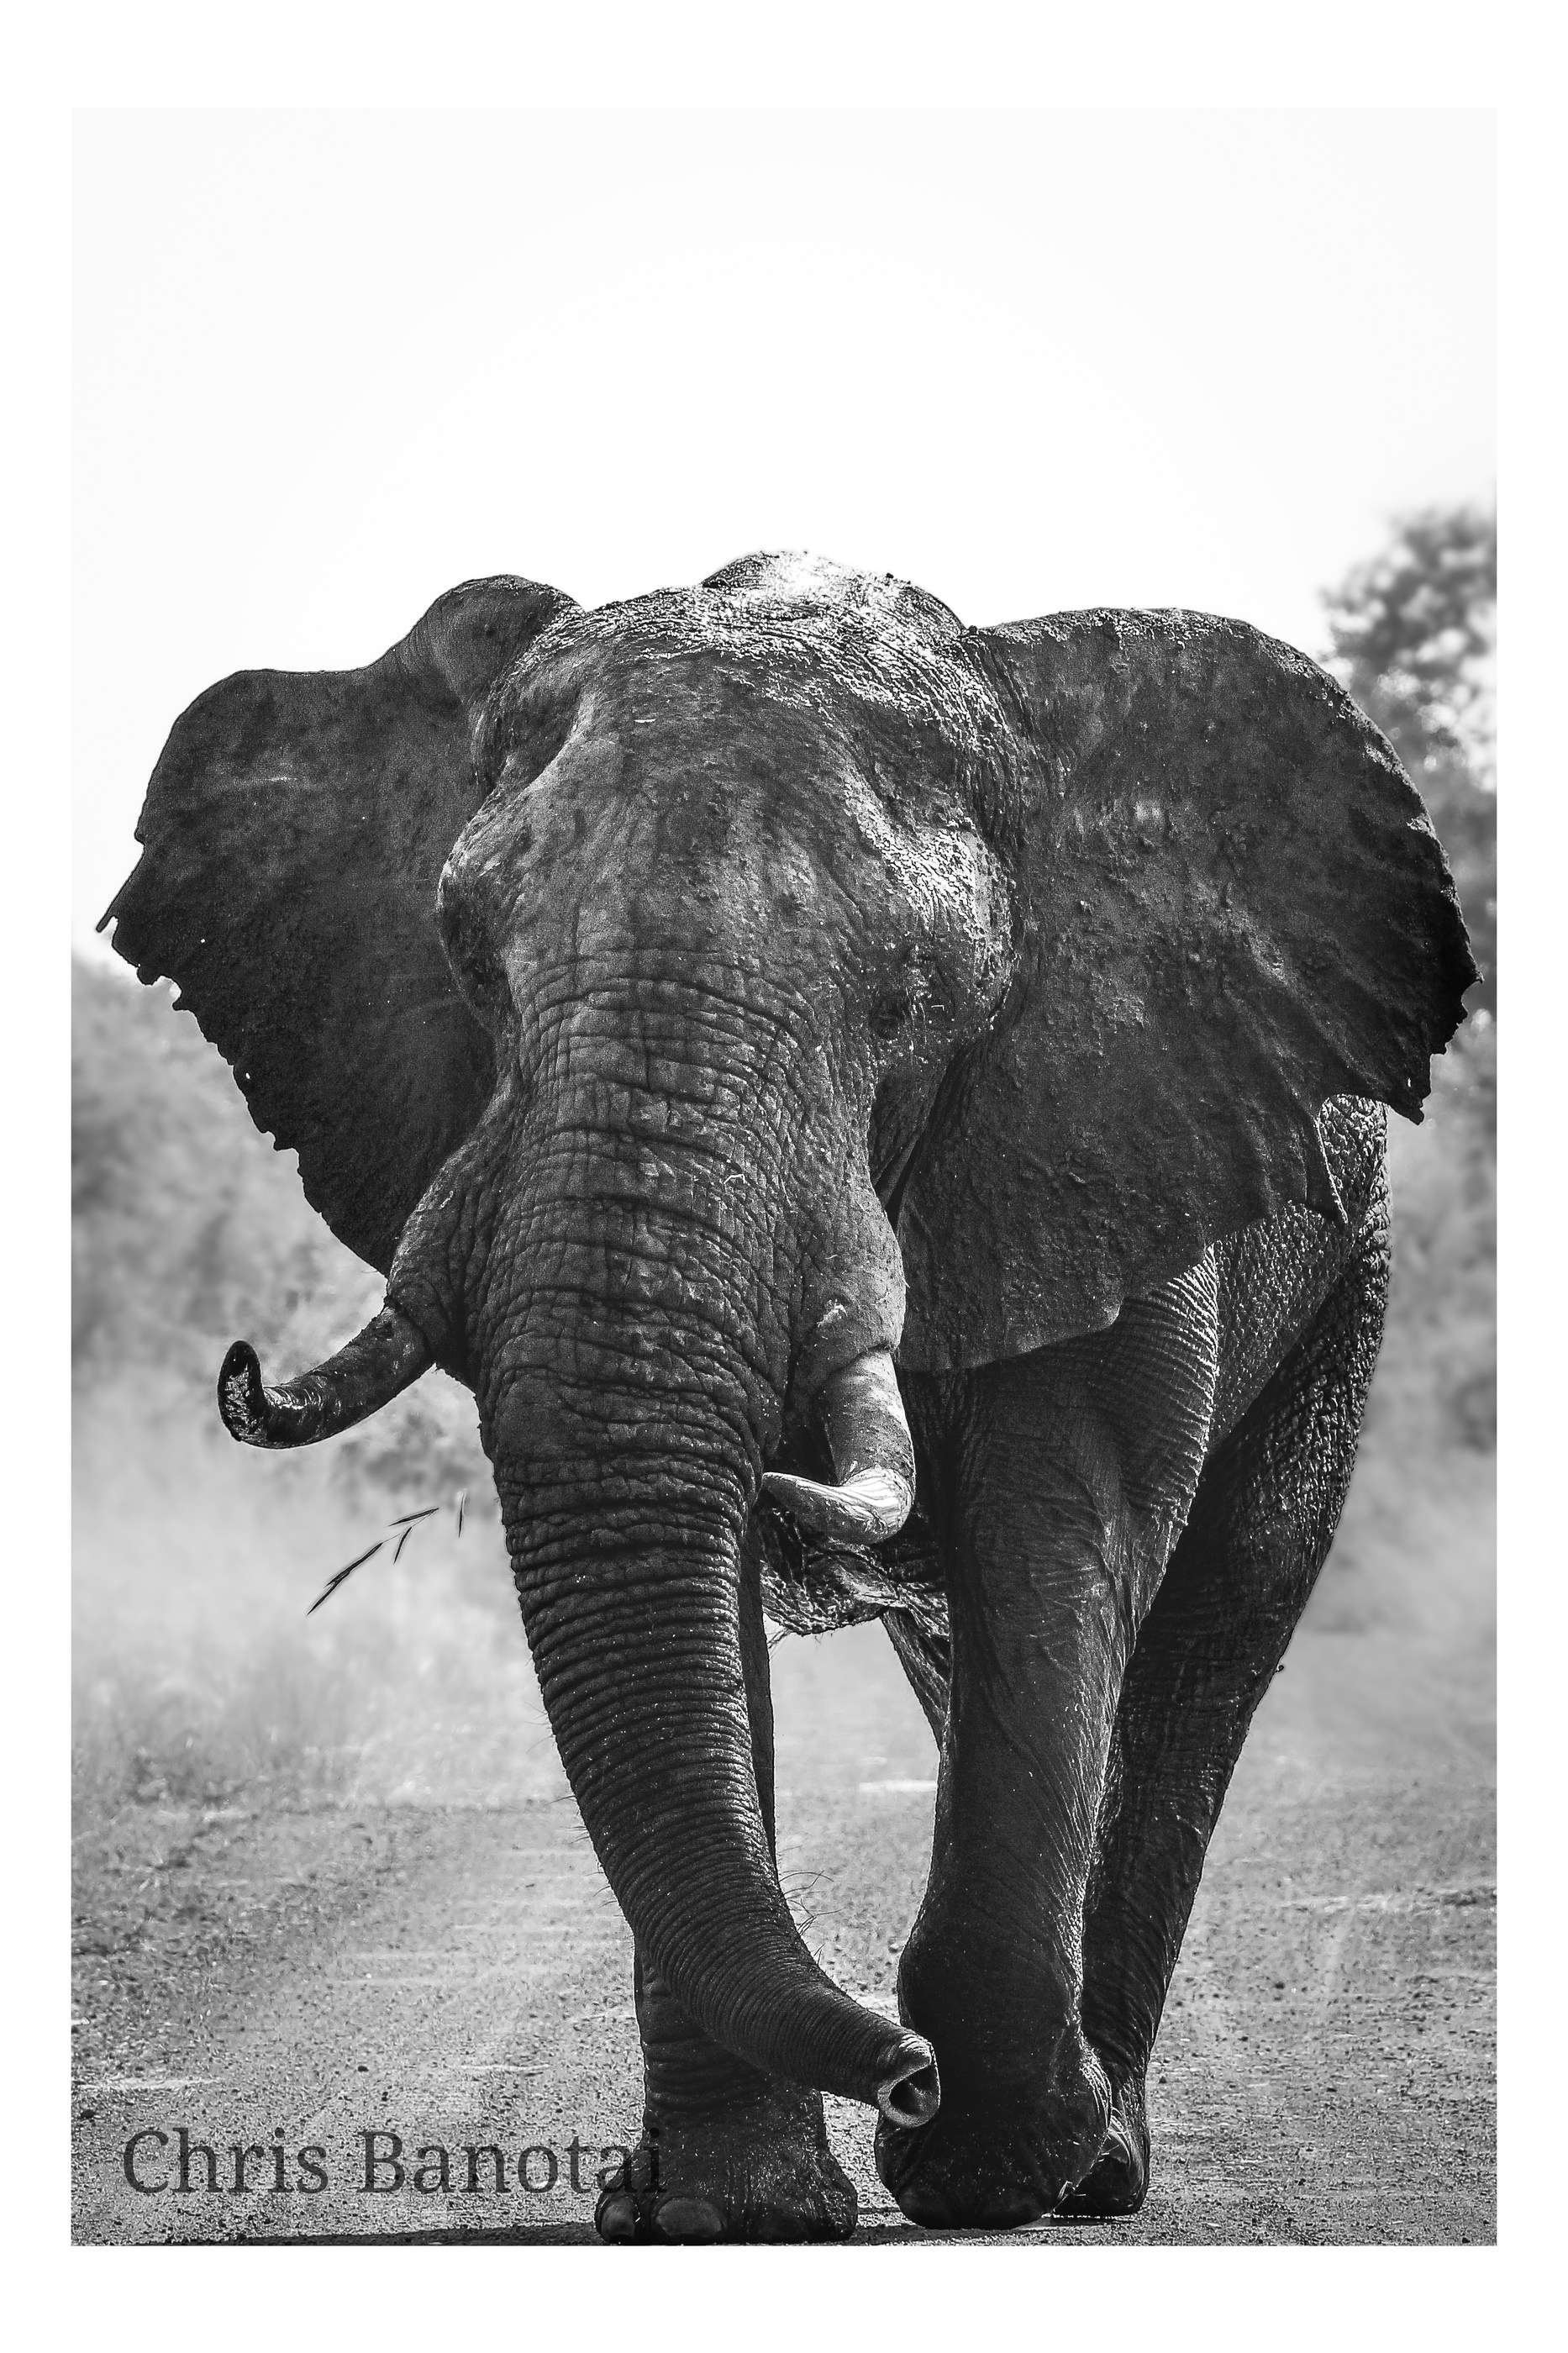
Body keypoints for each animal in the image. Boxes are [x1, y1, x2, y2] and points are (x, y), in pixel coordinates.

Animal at [103, 552, 1474, 2241]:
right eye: (469, 961)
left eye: (908, 1000)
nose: (902, 2071)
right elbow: (692, 1600)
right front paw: (731, 2213)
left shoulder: (1102, 1137)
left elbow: (1059, 1534)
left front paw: (976, 2169)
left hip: (1344, 1285)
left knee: (1202, 1640)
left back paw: (1096, 2167)